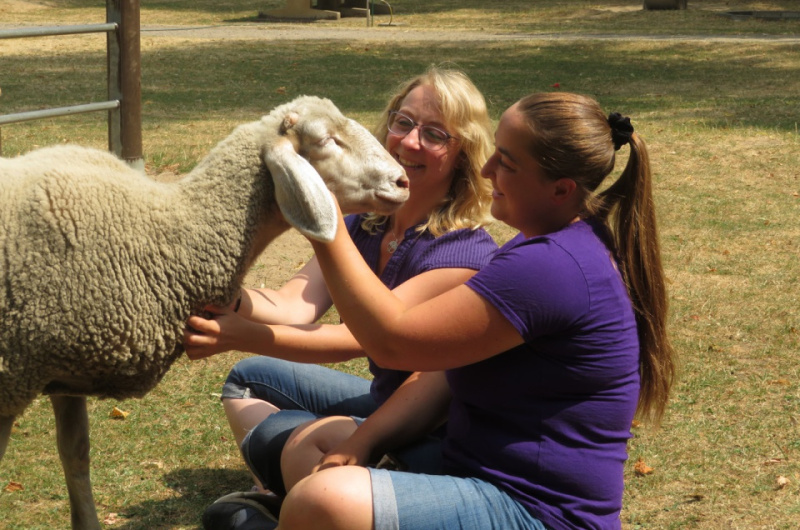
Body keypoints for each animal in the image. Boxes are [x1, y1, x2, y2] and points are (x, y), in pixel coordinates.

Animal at [0, 96, 406, 528]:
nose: (403, 181)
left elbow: (76, 456)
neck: (171, 235)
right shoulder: (14, 380)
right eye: (326, 139)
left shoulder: (63, 373)